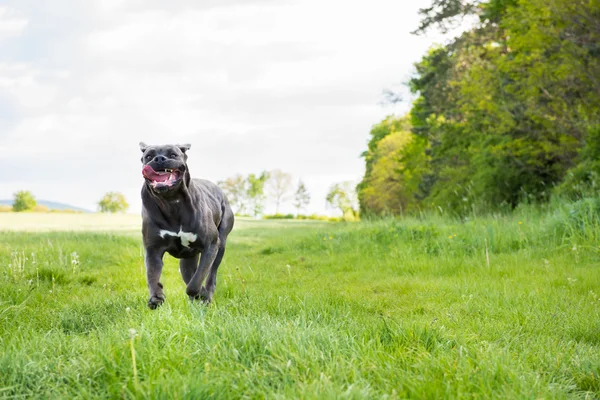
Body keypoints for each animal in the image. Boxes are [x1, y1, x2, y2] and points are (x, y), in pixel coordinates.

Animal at [140, 142, 234, 308]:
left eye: (173, 154)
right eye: (149, 156)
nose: (159, 159)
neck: (171, 201)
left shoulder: (211, 245)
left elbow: (195, 282)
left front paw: (201, 293)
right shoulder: (153, 250)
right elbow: (152, 275)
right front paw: (156, 297)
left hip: (220, 245)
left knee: (211, 276)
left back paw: (206, 296)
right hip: (187, 260)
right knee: (190, 273)